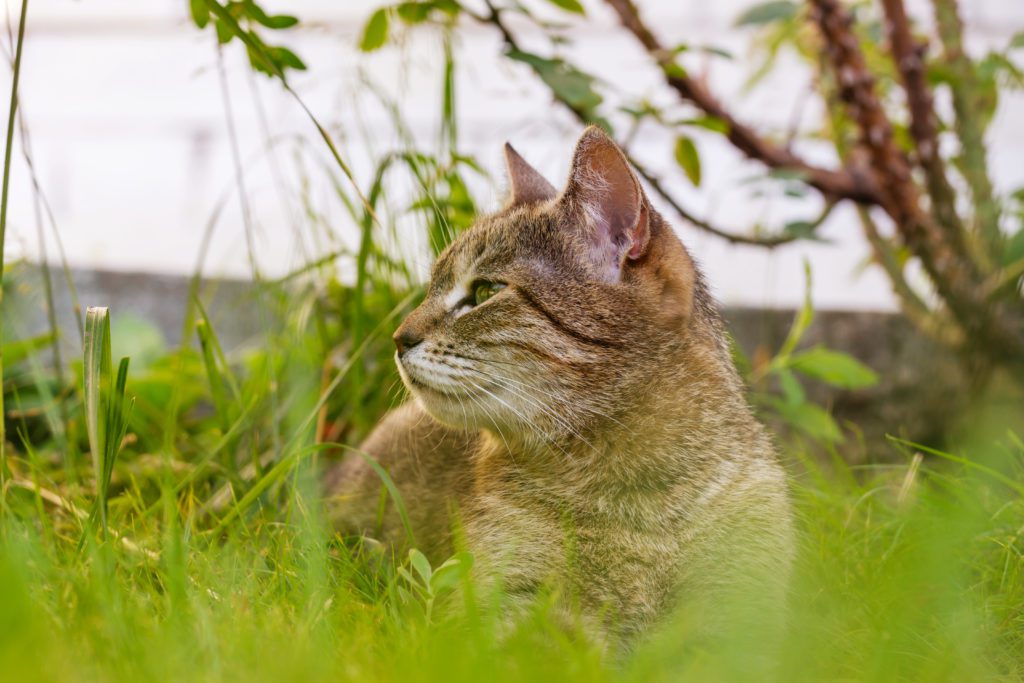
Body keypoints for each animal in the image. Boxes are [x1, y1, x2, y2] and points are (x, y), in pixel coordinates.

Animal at [323, 124, 794, 651]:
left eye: (485, 292)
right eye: (430, 288)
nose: (397, 338)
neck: (634, 498)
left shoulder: (746, 614)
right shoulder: (489, 607)